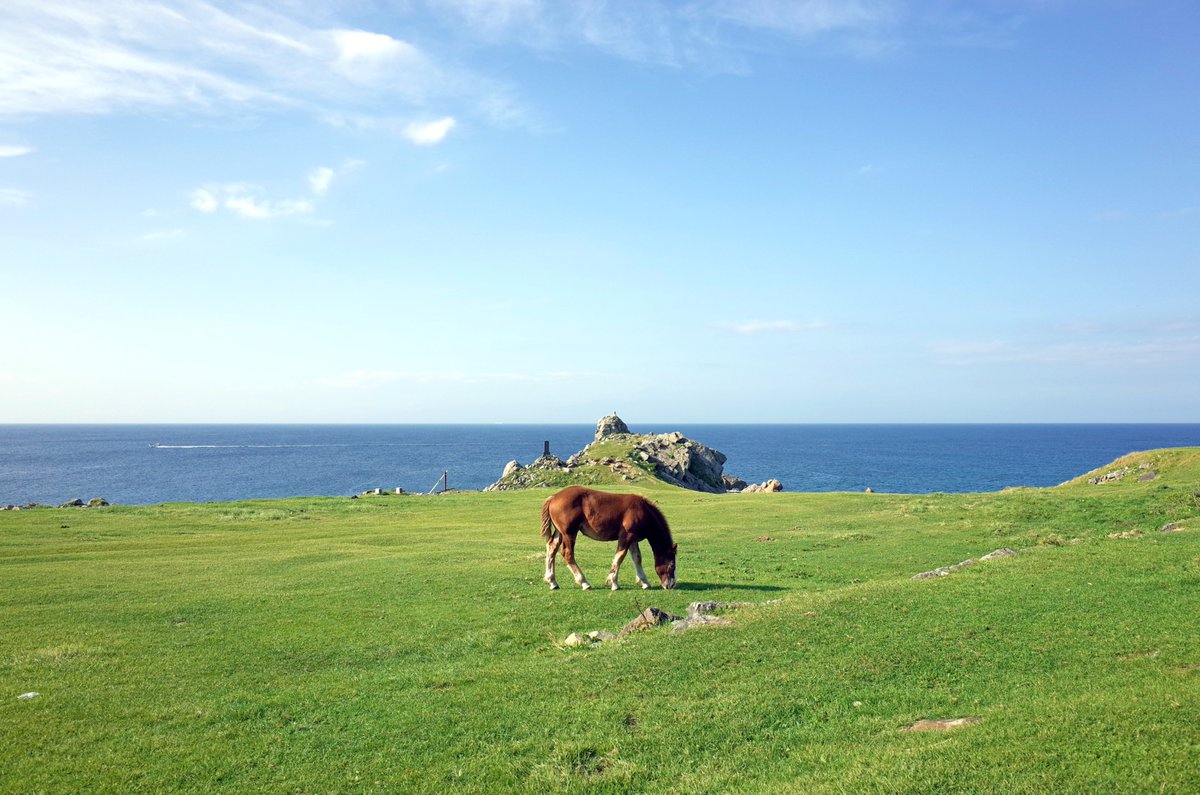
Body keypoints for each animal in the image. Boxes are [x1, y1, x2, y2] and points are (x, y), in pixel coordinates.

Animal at [540, 486, 677, 591]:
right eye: (672, 565)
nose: (670, 585)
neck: (642, 510)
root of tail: (554, 497)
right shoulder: (627, 536)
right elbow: (619, 557)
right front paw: (614, 583)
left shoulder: (633, 539)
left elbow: (637, 558)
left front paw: (644, 582)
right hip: (569, 534)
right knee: (567, 554)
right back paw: (584, 582)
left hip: (560, 532)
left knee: (551, 548)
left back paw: (552, 581)